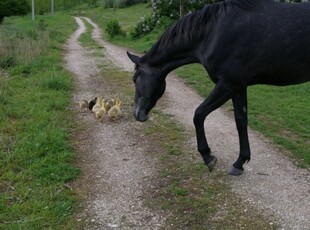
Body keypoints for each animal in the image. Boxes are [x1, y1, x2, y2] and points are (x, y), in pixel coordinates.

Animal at [126, 0, 310, 175]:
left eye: (135, 79)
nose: (137, 113)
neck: (213, 32)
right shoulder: (239, 87)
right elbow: (241, 121)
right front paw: (240, 162)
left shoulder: (228, 84)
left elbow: (198, 114)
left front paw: (207, 156)